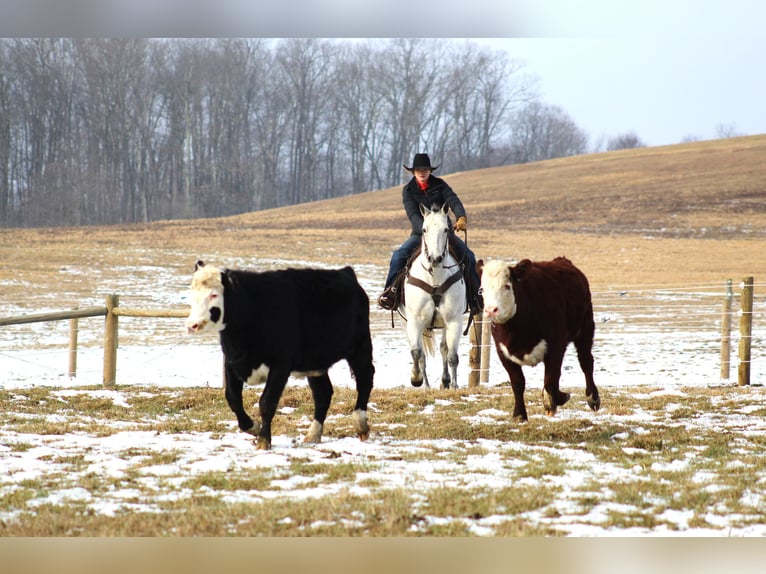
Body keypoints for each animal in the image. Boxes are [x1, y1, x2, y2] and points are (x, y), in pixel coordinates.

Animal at [184, 258, 376, 452]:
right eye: (192, 293)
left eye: (214, 295)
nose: (192, 325)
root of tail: (345, 272)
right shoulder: (231, 363)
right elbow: (233, 399)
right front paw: (252, 427)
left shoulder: (280, 366)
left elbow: (267, 402)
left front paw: (263, 441)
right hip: (314, 363)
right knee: (323, 393)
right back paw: (313, 434)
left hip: (360, 347)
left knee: (365, 379)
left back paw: (360, 424)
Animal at [402, 204, 468, 392]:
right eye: (424, 229)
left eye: (446, 229)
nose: (435, 258)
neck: (435, 279)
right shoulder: (415, 320)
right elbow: (417, 352)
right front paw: (416, 379)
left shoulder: (454, 320)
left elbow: (452, 355)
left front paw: (454, 385)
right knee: (422, 353)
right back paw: (426, 385)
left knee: (444, 348)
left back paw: (445, 381)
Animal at [480, 258, 600, 424]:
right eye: (482, 289)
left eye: (507, 286)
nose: (491, 310)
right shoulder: (503, 352)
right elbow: (518, 383)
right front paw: (519, 414)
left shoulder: (555, 346)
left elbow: (550, 379)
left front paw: (554, 401)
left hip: (585, 328)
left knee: (586, 362)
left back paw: (592, 398)